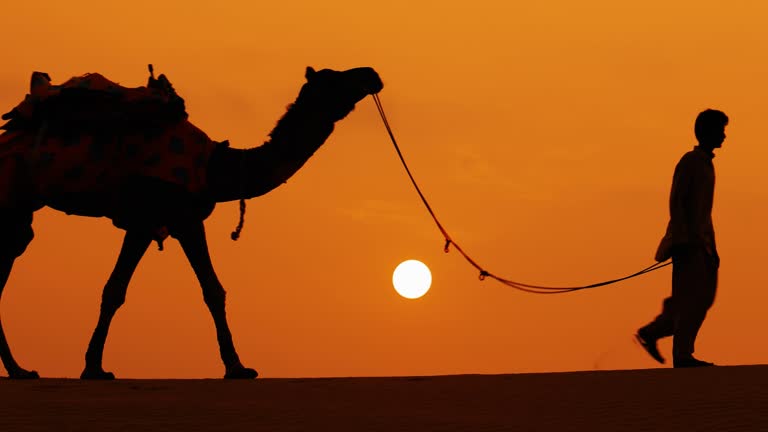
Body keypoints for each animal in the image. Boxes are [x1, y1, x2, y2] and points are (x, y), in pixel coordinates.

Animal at [0, 64, 384, 378]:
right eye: (334, 78)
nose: (371, 74)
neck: (217, 167)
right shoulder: (152, 217)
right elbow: (116, 290)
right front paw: (94, 368)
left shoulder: (182, 219)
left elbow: (212, 290)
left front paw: (237, 367)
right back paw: (20, 370)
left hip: (19, 215)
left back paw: (20, 370)